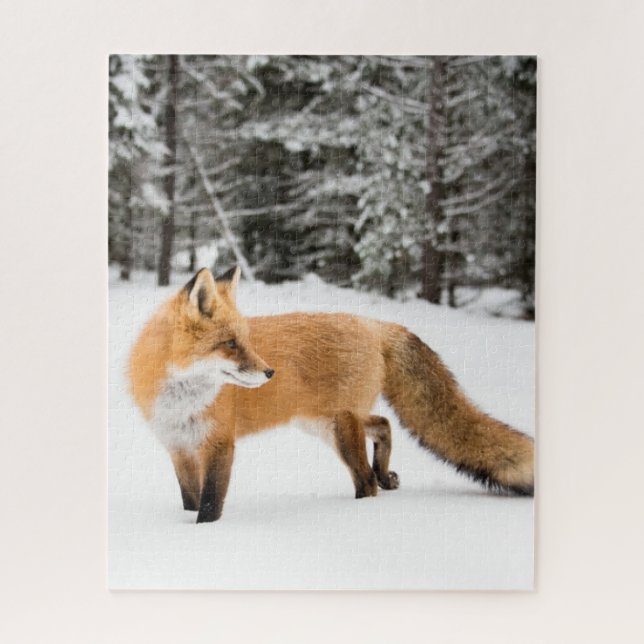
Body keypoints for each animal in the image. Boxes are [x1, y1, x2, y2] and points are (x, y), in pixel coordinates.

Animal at [128, 266, 534, 523]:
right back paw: (385, 474)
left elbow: (210, 505)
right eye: (230, 344)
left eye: (245, 340)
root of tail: (374, 324)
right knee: (384, 424)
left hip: (340, 428)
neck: (181, 402)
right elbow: (190, 500)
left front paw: (204, 534)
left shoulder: (219, 444)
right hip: (324, 423)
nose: (270, 372)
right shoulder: (179, 448)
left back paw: (363, 505)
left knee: (365, 479)